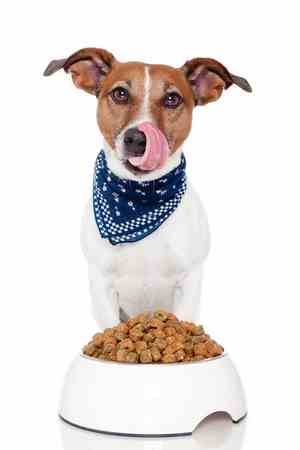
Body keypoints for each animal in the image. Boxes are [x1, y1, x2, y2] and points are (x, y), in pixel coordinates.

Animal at [44, 48, 251, 330]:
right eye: (120, 93)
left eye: (172, 99)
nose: (137, 138)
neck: (140, 201)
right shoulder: (102, 286)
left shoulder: (189, 282)